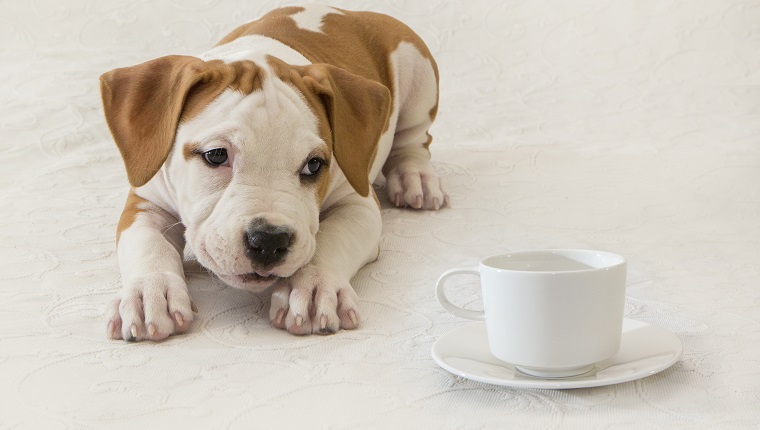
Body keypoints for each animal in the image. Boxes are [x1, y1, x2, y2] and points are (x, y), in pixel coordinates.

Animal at [99, 3, 446, 340]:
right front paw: (149, 293)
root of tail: (351, 13)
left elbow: (333, 237)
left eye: (313, 165)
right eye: (216, 155)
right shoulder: (146, 201)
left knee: (414, 139)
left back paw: (415, 178)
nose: (268, 240)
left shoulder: (357, 203)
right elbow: (147, 243)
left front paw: (314, 285)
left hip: (418, 73)